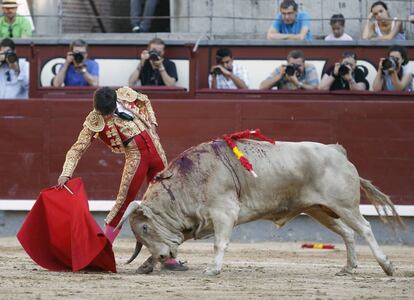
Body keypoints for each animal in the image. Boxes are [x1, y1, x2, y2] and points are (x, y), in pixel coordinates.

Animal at [116, 138, 404, 274]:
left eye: (145, 228)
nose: (161, 257)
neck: (190, 180)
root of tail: (337, 151)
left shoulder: (224, 213)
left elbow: (219, 243)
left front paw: (213, 269)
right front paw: (147, 265)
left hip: (345, 206)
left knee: (365, 228)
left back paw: (386, 266)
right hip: (319, 210)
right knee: (347, 233)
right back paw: (348, 267)